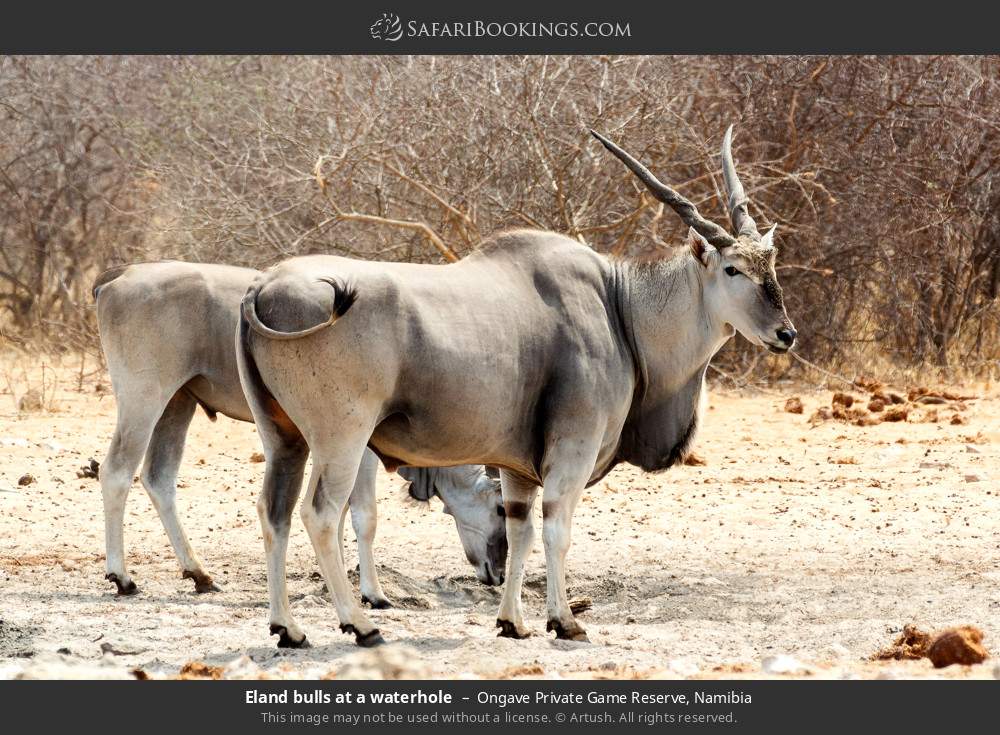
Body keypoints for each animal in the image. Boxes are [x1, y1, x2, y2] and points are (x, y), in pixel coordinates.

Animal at [94, 262, 508, 620]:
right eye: (501, 508)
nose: (498, 573)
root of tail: (118, 277)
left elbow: (335, 517)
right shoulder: (359, 448)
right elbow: (363, 516)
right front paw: (373, 594)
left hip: (179, 402)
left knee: (159, 478)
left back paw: (199, 574)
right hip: (144, 397)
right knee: (116, 471)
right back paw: (122, 577)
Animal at [236, 128, 796, 648]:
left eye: (771, 266)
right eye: (733, 269)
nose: (785, 334)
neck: (619, 307)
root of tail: (261, 288)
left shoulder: (516, 469)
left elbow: (520, 529)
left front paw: (513, 623)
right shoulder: (572, 450)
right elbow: (556, 530)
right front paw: (564, 621)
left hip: (284, 439)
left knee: (274, 512)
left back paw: (288, 629)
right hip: (343, 439)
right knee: (321, 514)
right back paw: (361, 624)